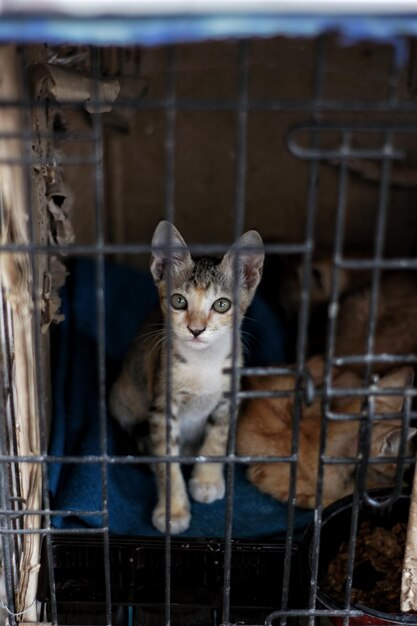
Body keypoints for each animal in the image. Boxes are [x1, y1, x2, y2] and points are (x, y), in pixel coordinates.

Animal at [111, 221, 264, 532]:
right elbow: (166, 461)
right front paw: (173, 511)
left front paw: (206, 480)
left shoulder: (228, 398)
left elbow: (217, 438)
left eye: (221, 305)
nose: (196, 329)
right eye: (179, 301)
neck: (202, 364)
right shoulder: (162, 407)